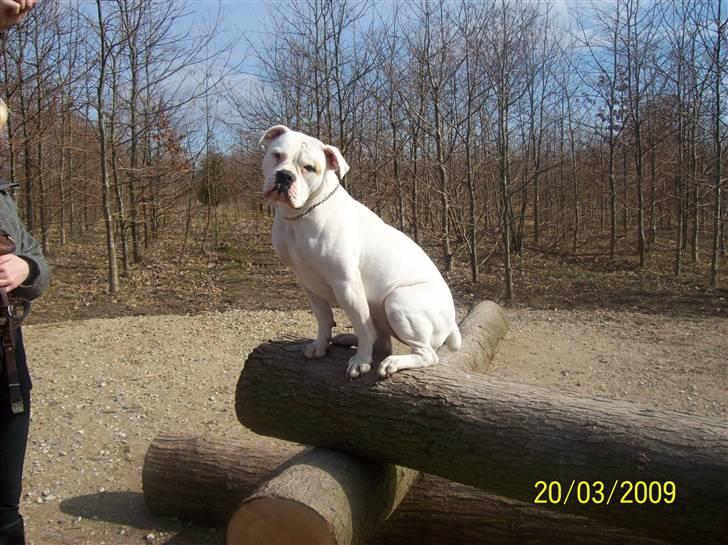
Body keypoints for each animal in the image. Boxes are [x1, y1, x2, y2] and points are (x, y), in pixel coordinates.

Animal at [258, 126, 458, 378]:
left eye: (309, 168)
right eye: (277, 155)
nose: (285, 176)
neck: (300, 215)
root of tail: (453, 323)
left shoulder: (347, 283)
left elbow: (362, 325)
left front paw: (361, 361)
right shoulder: (307, 282)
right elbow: (324, 317)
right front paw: (321, 345)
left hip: (399, 300)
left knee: (425, 353)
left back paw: (393, 362)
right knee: (381, 341)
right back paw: (348, 338)